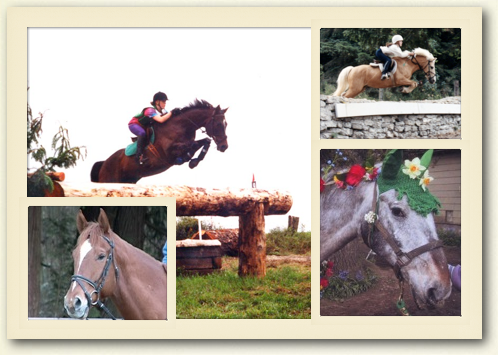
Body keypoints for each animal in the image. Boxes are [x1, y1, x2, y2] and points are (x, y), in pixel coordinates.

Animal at [90, 99, 229, 184]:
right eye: (218, 124)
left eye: (226, 124)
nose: (224, 146)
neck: (181, 126)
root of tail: (104, 163)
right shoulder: (168, 151)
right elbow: (193, 145)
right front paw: (186, 158)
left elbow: (206, 141)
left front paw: (193, 161)